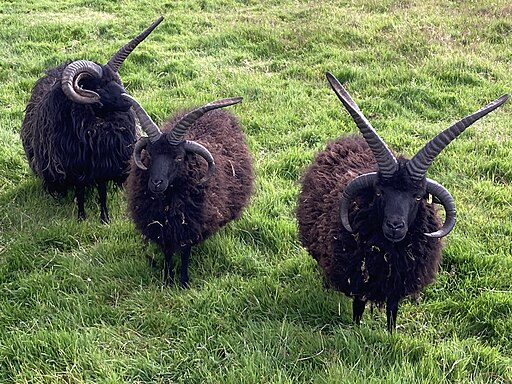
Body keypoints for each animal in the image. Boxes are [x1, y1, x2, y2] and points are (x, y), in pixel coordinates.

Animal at [21, 17, 162, 222]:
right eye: (98, 86)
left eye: (116, 80)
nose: (128, 100)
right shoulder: (76, 169)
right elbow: (80, 193)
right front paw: (81, 218)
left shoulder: (103, 167)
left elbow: (102, 192)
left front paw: (105, 219)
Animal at [122, 94, 254, 284]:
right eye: (151, 154)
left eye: (178, 157)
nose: (156, 183)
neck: (169, 199)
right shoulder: (163, 228)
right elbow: (168, 253)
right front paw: (167, 278)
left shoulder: (189, 226)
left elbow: (184, 253)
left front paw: (184, 281)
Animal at [296, 73, 508, 332]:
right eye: (379, 193)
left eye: (417, 196)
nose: (395, 226)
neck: (390, 250)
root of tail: (347, 139)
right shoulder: (359, 278)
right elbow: (358, 308)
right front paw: (355, 331)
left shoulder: (397, 283)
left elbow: (392, 311)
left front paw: (390, 334)